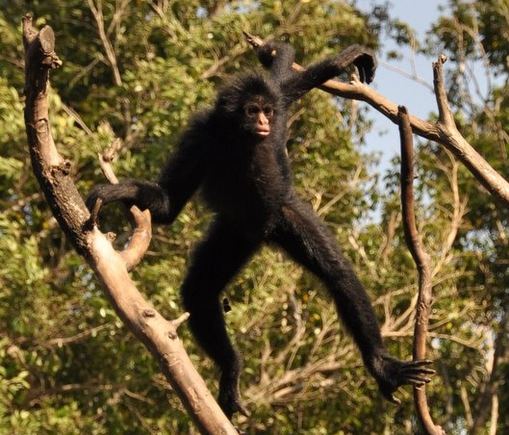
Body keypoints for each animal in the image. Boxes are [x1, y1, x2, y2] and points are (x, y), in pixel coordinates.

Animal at [86, 41, 432, 418]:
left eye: (264, 110)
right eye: (252, 110)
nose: (264, 121)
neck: (240, 139)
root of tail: (262, 232)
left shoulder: (273, 116)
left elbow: (285, 90)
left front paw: (340, 60)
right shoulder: (201, 137)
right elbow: (166, 204)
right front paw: (119, 191)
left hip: (283, 215)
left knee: (338, 274)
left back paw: (382, 366)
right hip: (234, 232)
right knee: (199, 291)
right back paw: (231, 369)